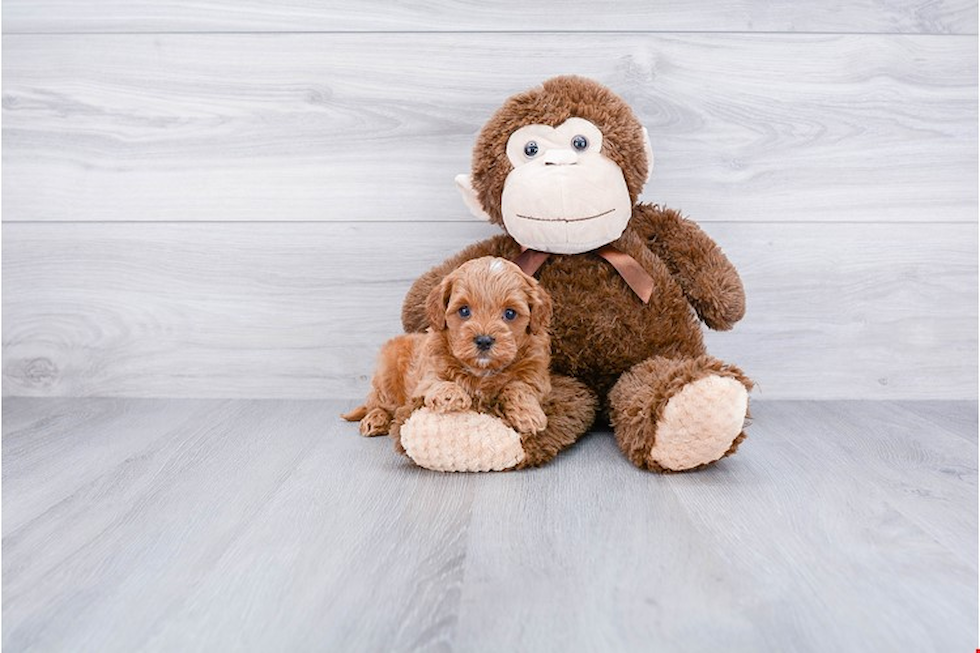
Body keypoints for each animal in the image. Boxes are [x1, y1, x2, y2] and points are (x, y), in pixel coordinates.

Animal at [340, 258, 552, 436]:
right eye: (464, 311)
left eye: (510, 313)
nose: (484, 340)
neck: (482, 372)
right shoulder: (427, 374)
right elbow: (437, 381)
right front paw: (450, 395)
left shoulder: (536, 377)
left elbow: (518, 387)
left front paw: (528, 413)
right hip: (386, 376)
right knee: (378, 404)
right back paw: (375, 419)